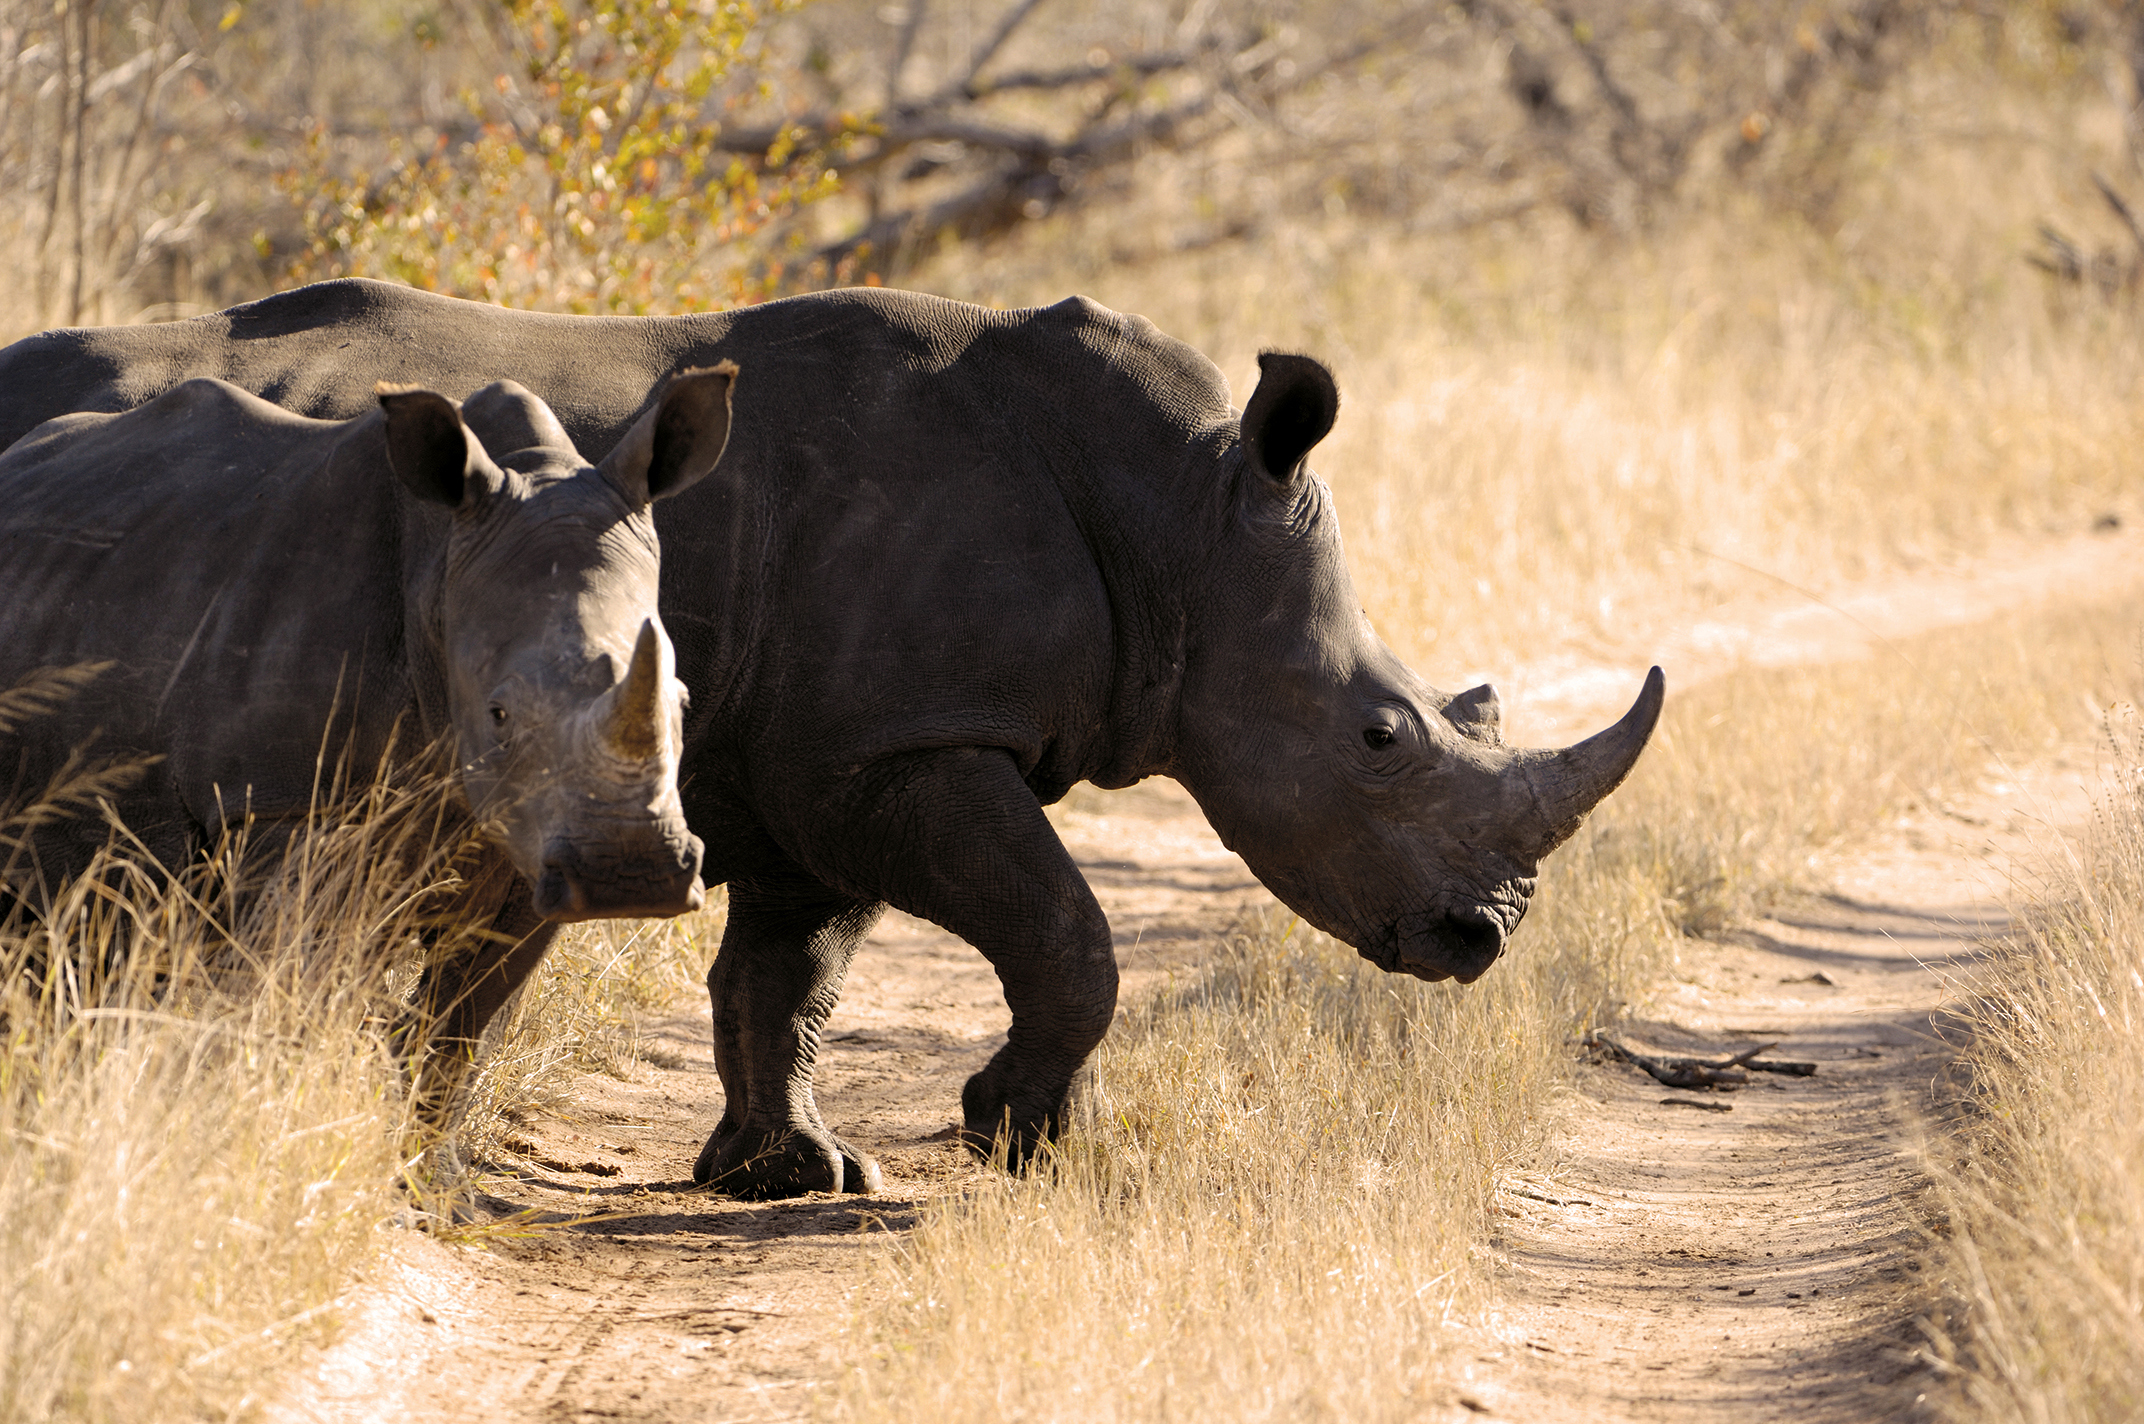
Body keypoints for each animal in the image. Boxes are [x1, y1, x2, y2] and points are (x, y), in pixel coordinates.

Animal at [0, 364, 737, 1085]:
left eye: (681, 703)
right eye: (498, 714)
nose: (631, 874)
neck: (441, 569)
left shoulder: (526, 839)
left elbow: (461, 1032)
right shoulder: (275, 800)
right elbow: (279, 996)